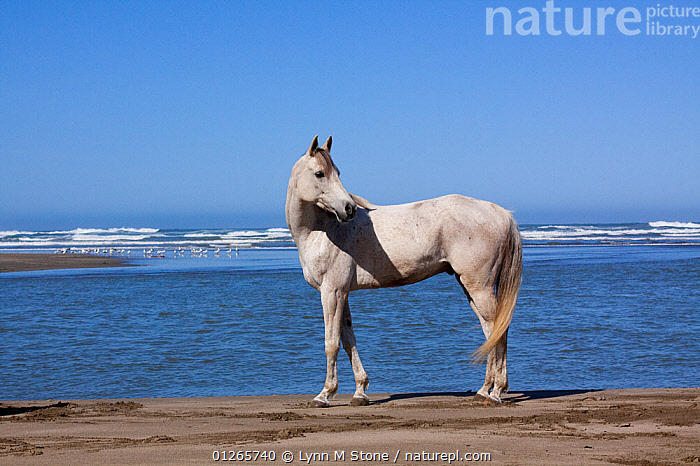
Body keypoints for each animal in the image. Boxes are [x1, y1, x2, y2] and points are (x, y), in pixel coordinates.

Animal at [285, 135, 522, 407]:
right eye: (320, 173)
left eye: (336, 172)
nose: (349, 209)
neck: (322, 229)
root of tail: (500, 212)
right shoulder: (341, 293)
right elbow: (348, 339)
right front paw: (360, 392)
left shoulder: (331, 292)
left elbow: (331, 343)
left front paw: (324, 394)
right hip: (470, 287)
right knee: (490, 330)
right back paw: (485, 390)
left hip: (479, 286)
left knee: (498, 330)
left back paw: (496, 392)